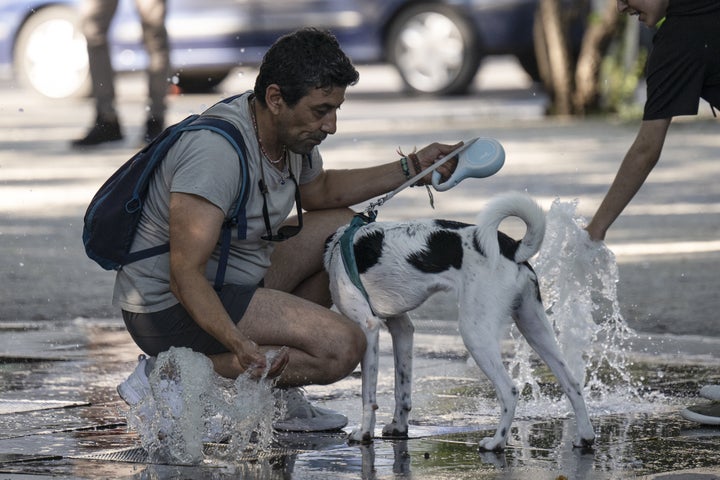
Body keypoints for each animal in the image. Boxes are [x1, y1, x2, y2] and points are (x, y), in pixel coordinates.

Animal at [326, 191, 596, 450]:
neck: (338, 248)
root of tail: (513, 248)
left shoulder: (368, 328)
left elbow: (368, 395)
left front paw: (364, 433)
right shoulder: (401, 327)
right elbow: (402, 388)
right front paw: (398, 427)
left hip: (475, 333)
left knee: (509, 391)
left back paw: (496, 443)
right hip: (534, 326)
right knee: (572, 382)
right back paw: (585, 436)